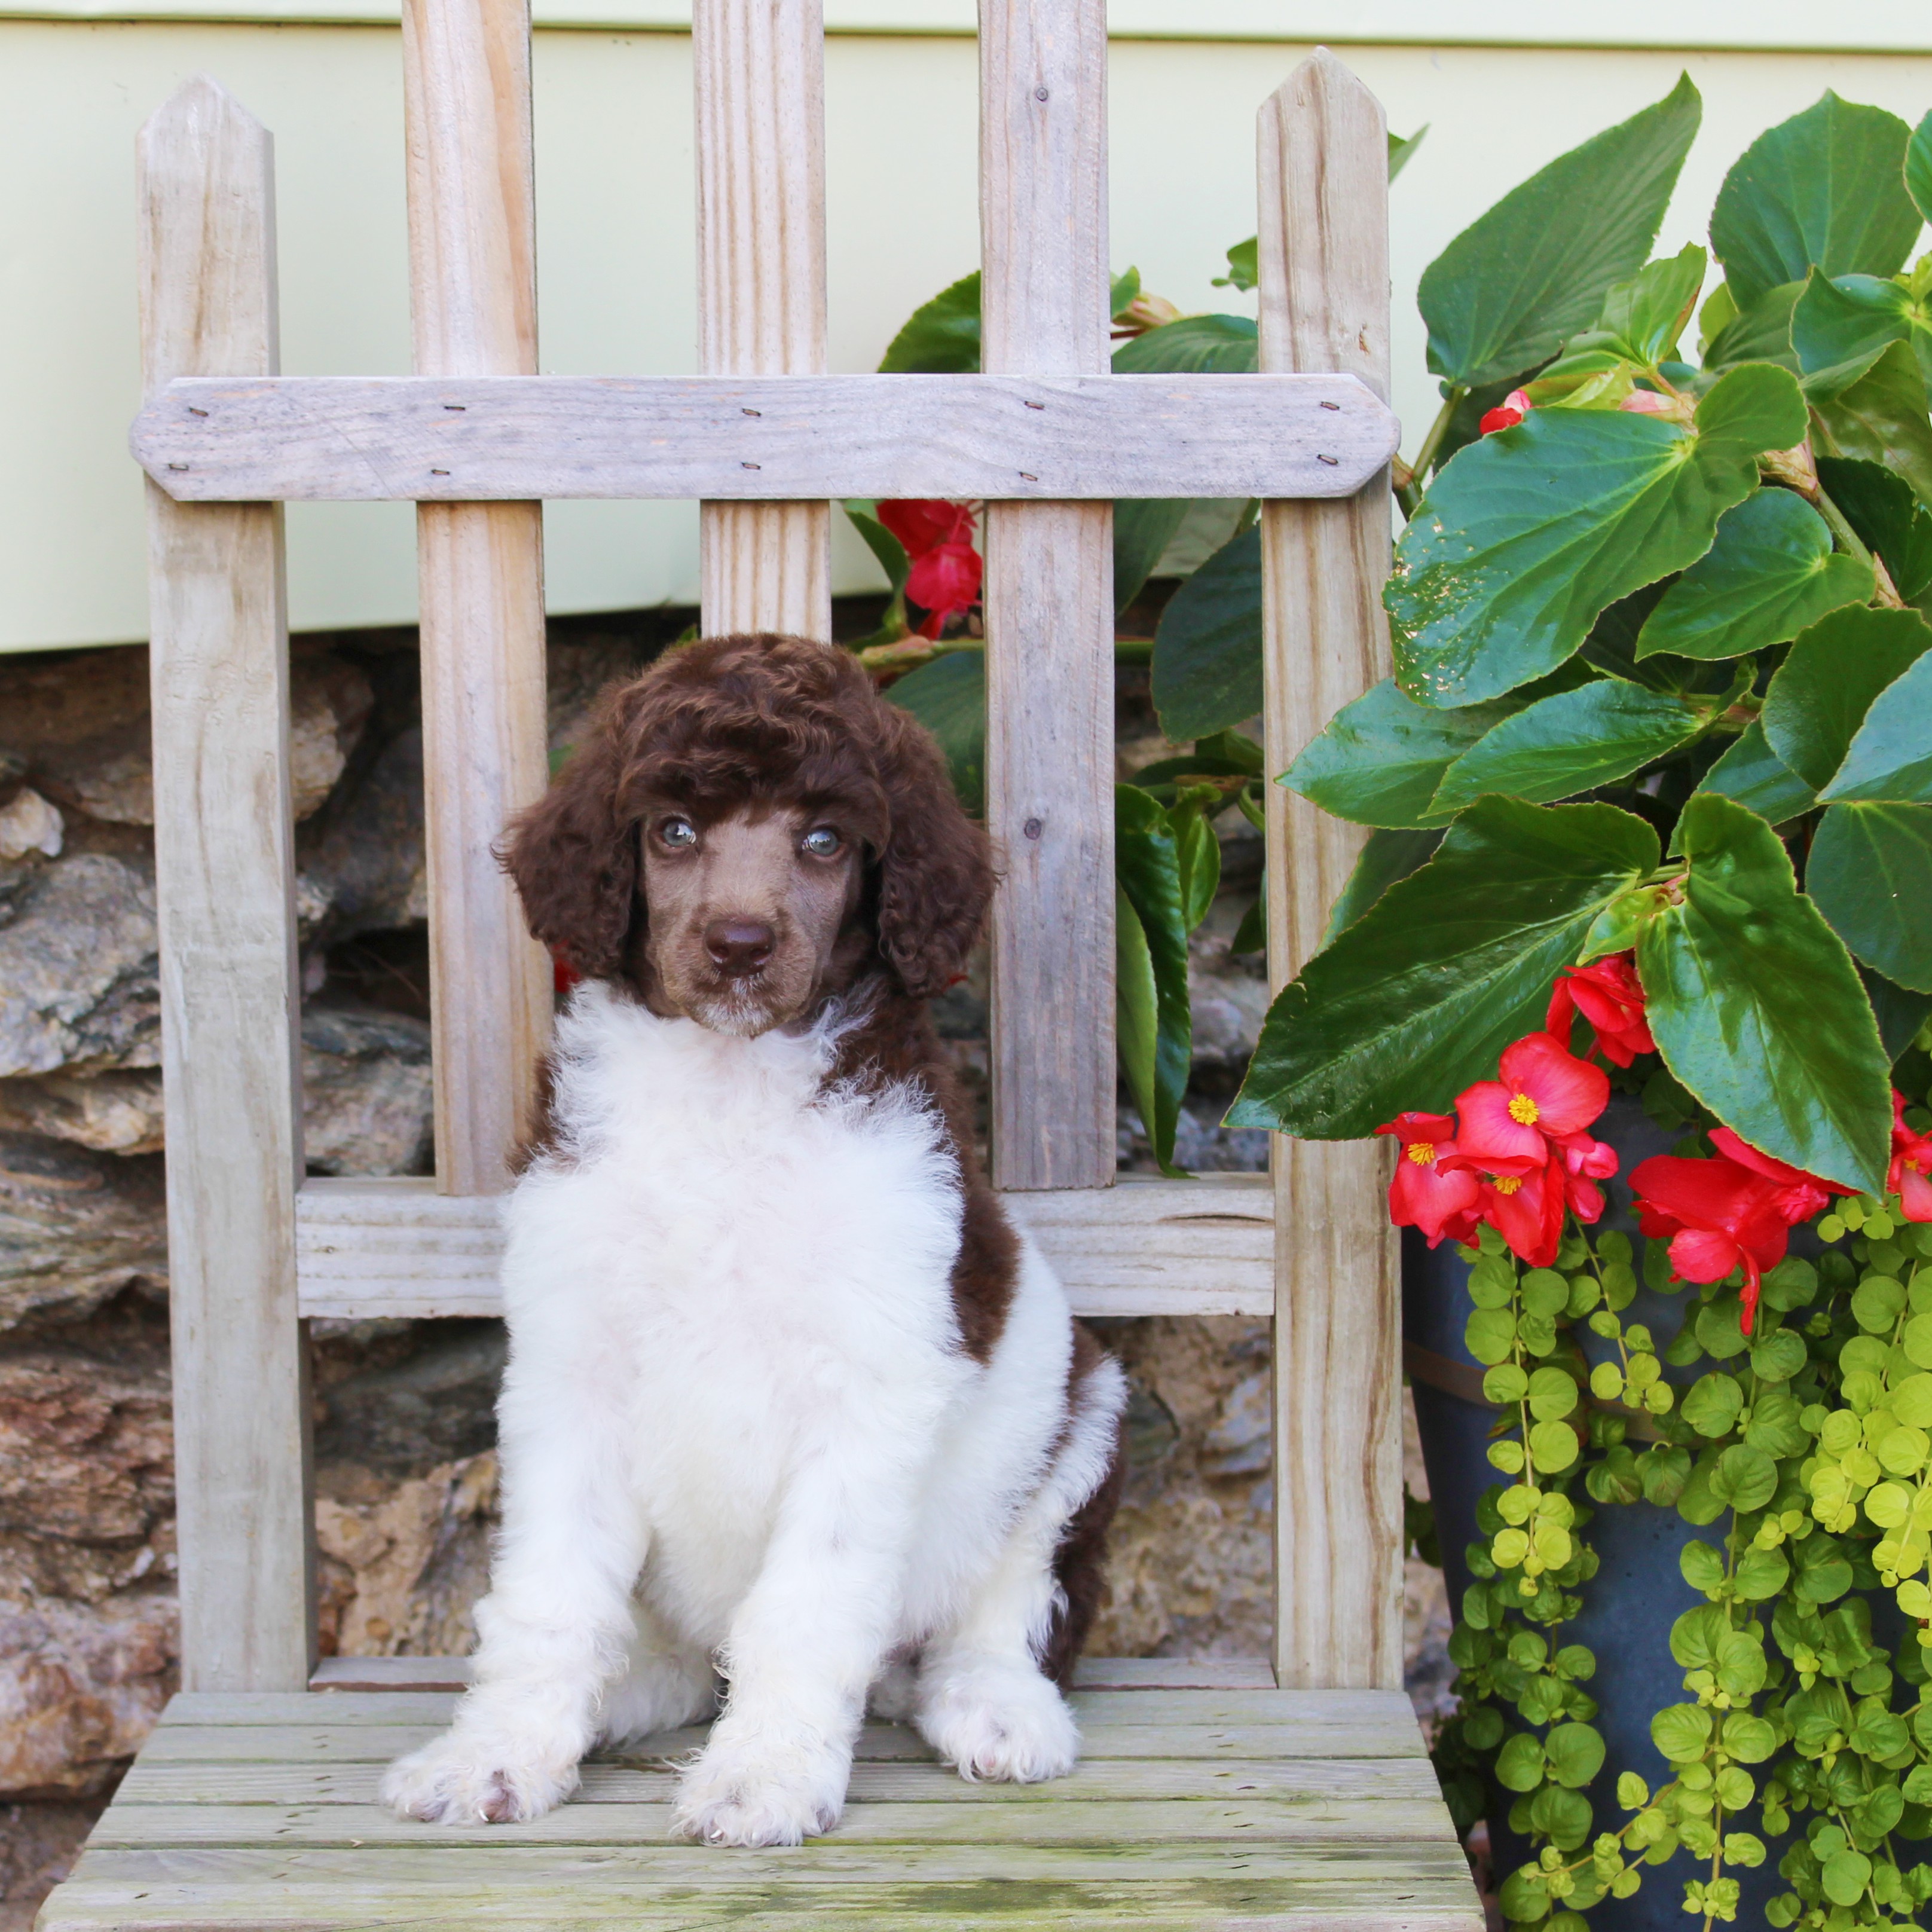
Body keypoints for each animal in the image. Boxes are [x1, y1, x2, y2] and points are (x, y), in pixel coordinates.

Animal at [378, 629, 1128, 1839]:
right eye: (672, 831)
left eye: (824, 841)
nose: (737, 944)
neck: (728, 1089)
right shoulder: (570, 1370)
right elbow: (546, 1594)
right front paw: (493, 1755)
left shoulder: (873, 1382)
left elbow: (808, 1605)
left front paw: (764, 1775)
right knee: (680, 1664)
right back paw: (623, 1697)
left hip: (1082, 1412)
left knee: (1010, 1603)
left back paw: (997, 1708)